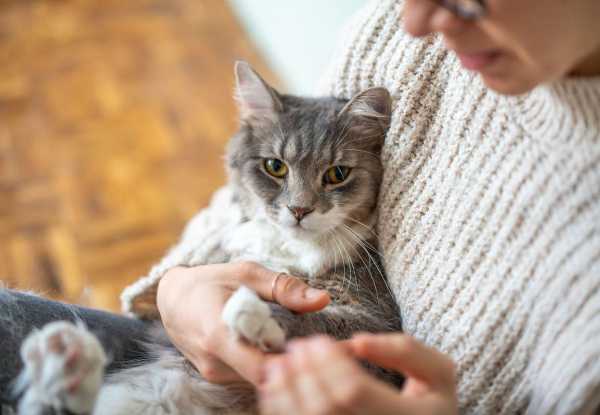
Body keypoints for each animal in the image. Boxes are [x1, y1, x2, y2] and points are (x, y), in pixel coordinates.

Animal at [12, 61, 404, 415]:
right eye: (275, 167)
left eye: (337, 174)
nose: (299, 209)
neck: (291, 249)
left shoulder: (378, 324)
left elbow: (321, 323)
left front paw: (252, 312)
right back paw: (63, 357)